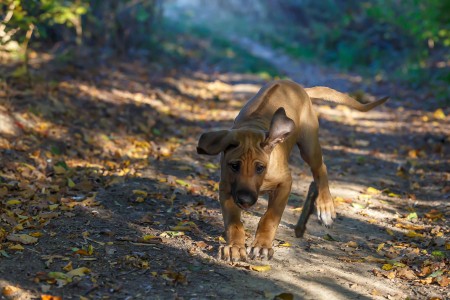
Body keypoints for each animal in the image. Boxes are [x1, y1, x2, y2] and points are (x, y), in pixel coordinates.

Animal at [197, 79, 386, 260]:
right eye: (234, 165)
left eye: (260, 167)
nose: (245, 200)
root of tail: (298, 86)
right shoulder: (227, 187)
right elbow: (233, 221)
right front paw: (235, 247)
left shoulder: (285, 183)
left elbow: (270, 218)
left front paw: (262, 246)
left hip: (309, 145)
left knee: (320, 168)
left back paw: (325, 207)